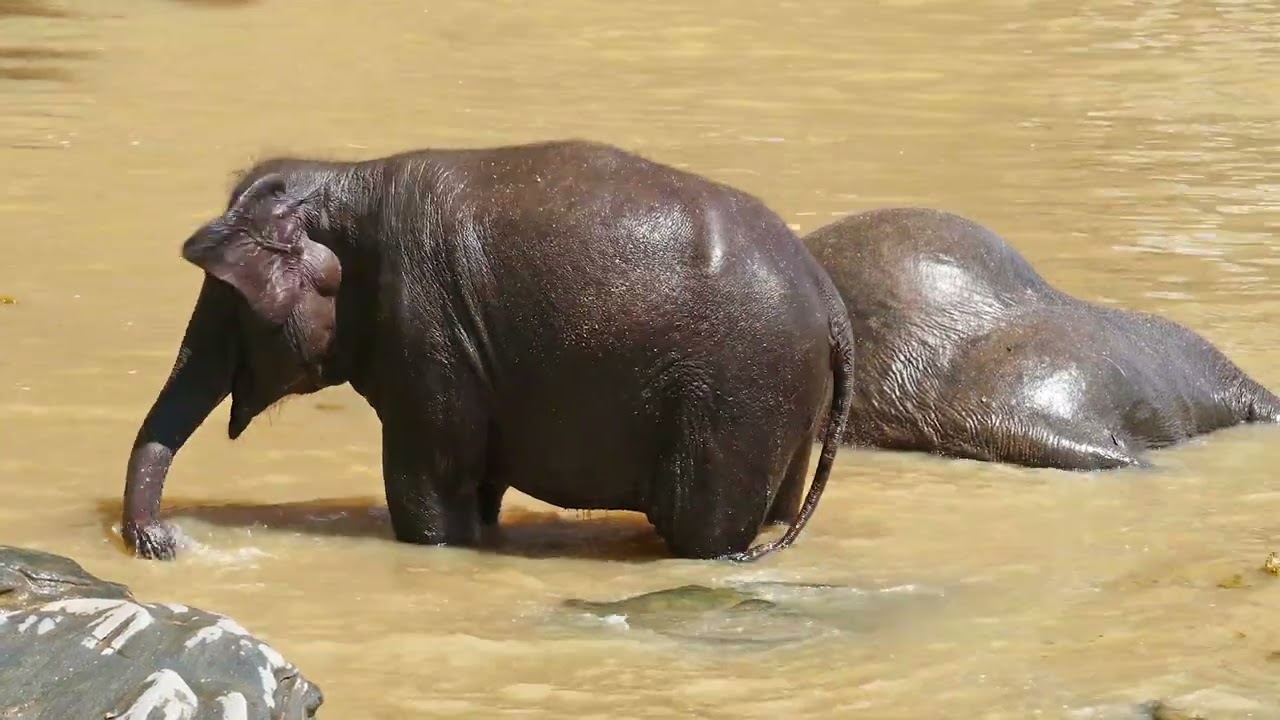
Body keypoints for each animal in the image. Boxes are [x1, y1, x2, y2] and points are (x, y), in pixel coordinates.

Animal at [121, 139, 855, 562]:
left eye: (231, 302)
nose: (164, 542)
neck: (348, 179)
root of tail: (830, 297)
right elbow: (477, 491)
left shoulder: (429, 340)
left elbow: (429, 502)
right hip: (782, 400)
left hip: (737, 399)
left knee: (704, 534)